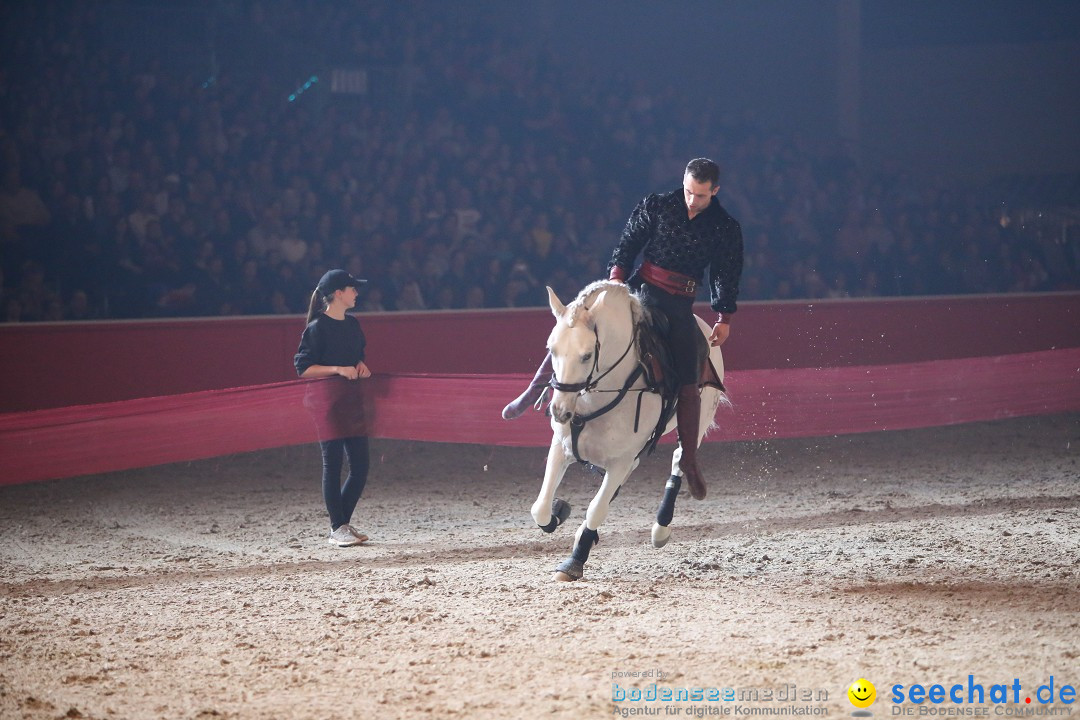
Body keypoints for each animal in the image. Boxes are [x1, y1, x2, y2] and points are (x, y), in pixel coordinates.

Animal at [531, 278, 725, 582]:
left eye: (587, 355)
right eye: (552, 349)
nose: (560, 411)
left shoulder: (620, 461)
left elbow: (596, 510)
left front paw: (574, 561)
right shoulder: (562, 448)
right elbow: (540, 508)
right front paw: (559, 511)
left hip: (696, 423)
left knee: (681, 460)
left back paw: (661, 528)